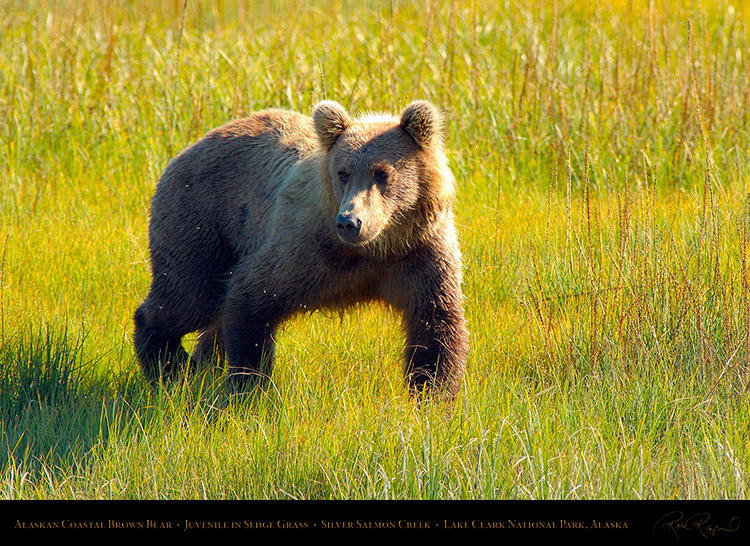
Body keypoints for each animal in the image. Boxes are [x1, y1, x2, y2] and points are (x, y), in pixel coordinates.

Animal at [132, 99, 468, 396]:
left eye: (382, 172)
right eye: (343, 172)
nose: (350, 222)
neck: (375, 248)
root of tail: (190, 147)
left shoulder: (418, 254)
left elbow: (435, 324)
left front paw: (432, 396)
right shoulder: (304, 248)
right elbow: (251, 296)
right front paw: (248, 388)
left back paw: (198, 364)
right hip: (201, 218)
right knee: (187, 295)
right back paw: (169, 366)